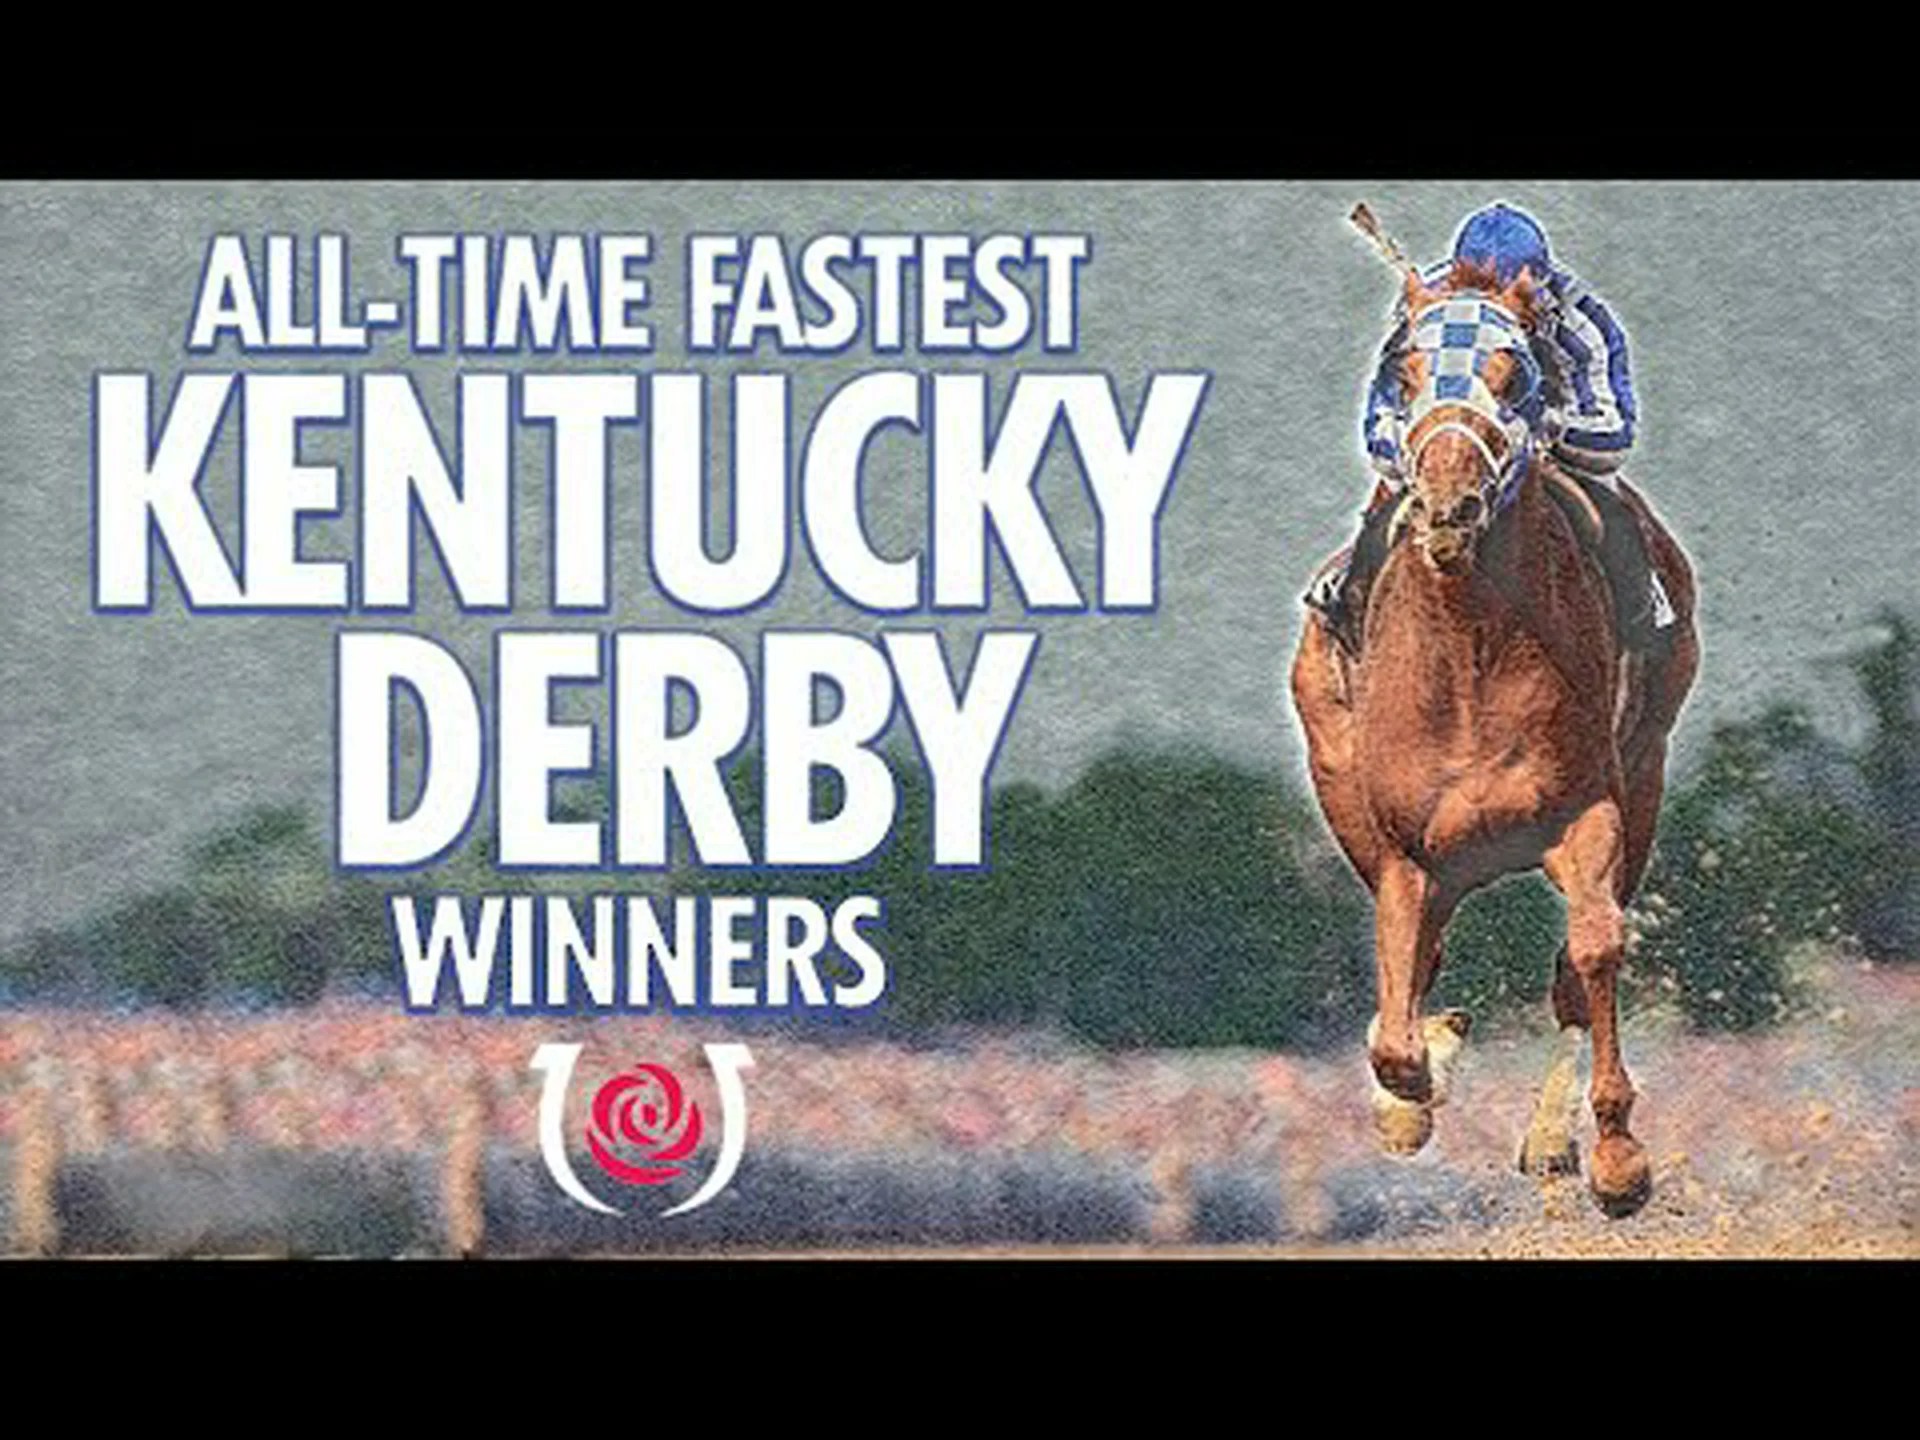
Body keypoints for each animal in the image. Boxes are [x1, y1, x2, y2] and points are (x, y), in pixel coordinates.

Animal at [1289, 263, 1699, 1217]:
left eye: (1516, 376)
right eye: (1405, 374)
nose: (1449, 505)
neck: (1470, 646)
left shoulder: (1589, 810)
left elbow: (1591, 951)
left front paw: (1615, 1159)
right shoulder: (1407, 853)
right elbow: (1397, 1032)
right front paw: (1413, 1094)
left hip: (1647, 775)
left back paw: (1552, 1139)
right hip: (1344, 785)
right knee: (1417, 966)